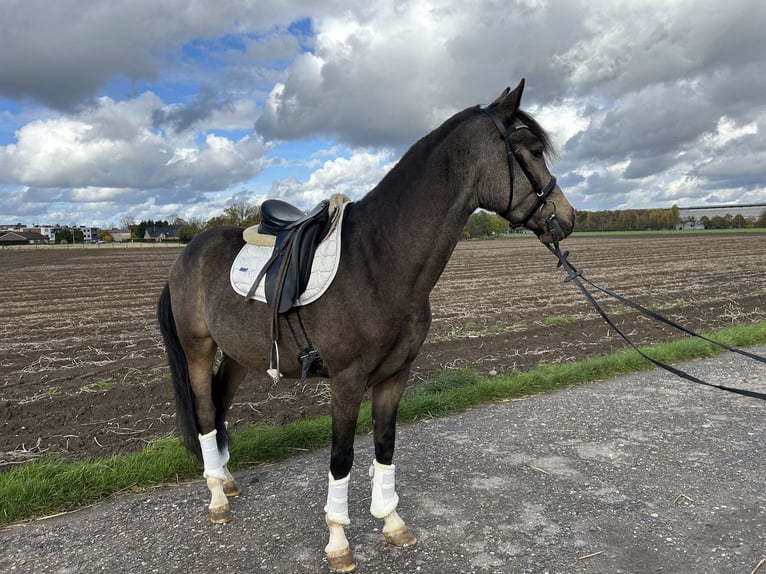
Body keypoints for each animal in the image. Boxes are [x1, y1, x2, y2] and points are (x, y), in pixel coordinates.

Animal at [156, 79, 575, 572]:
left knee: (220, 408)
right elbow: (341, 458)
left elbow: (385, 445)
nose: (567, 218)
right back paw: (217, 498)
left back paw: (227, 480)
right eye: (532, 150)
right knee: (205, 413)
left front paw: (391, 522)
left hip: (241, 354)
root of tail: (188, 252)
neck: (379, 260)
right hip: (198, 350)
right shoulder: (346, 380)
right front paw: (338, 541)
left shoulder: (394, 376)